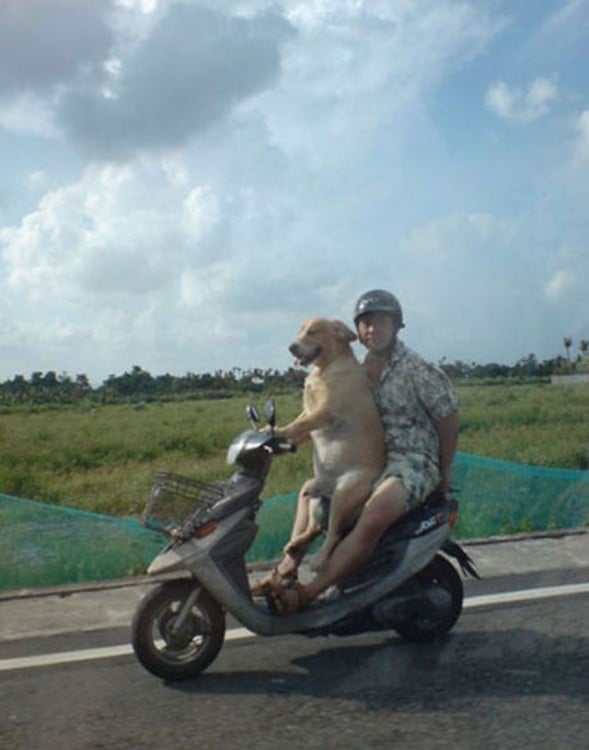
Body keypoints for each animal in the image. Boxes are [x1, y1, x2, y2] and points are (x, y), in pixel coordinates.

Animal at [280, 318, 386, 568]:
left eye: (312, 332)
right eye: (300, 331)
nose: (291, 347)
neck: (324, 370)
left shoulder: (324, 412)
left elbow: (298, 426)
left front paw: (277, 432)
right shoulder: (308, 412)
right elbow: (297, 425)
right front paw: (269, 432)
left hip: (344, 493)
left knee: (334, 534)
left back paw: (319, 558)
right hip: (312, 495)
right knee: (315, 528)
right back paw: (296, 543)